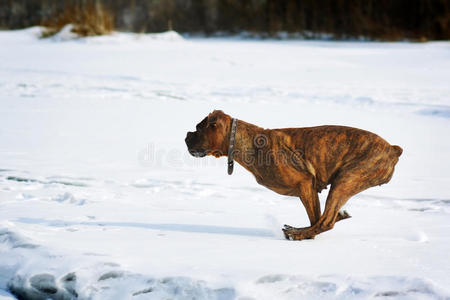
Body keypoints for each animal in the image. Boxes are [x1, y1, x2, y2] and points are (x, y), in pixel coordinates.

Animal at [185, 110, 402, 241]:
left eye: (197, 128)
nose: (186, 136)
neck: (250, 143)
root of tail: (392, 149)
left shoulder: (305, 183)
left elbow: (316, 218)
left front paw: (306, 234)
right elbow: (317, 216)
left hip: (345, 180)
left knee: (325, 222)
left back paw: (297, 233)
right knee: (325, 219)